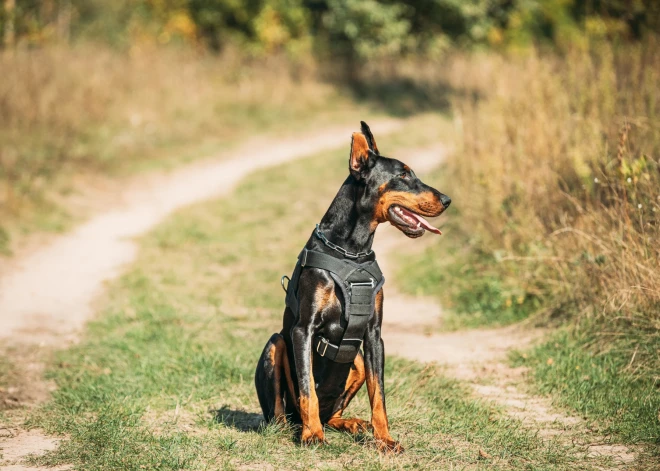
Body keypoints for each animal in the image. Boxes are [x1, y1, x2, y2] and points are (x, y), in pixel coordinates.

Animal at [255, 121, 452, 454]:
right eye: (403, 175)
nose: (448, 200)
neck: (351, 251)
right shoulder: (303, 330)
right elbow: (307, 388)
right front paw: (312, 435)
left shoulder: (373, 334)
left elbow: (379, 395)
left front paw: (385, 439)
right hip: (276, 344)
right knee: (285, 411)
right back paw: (298, 427)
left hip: (356, 360)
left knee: (331, 412)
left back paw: (349, 423)